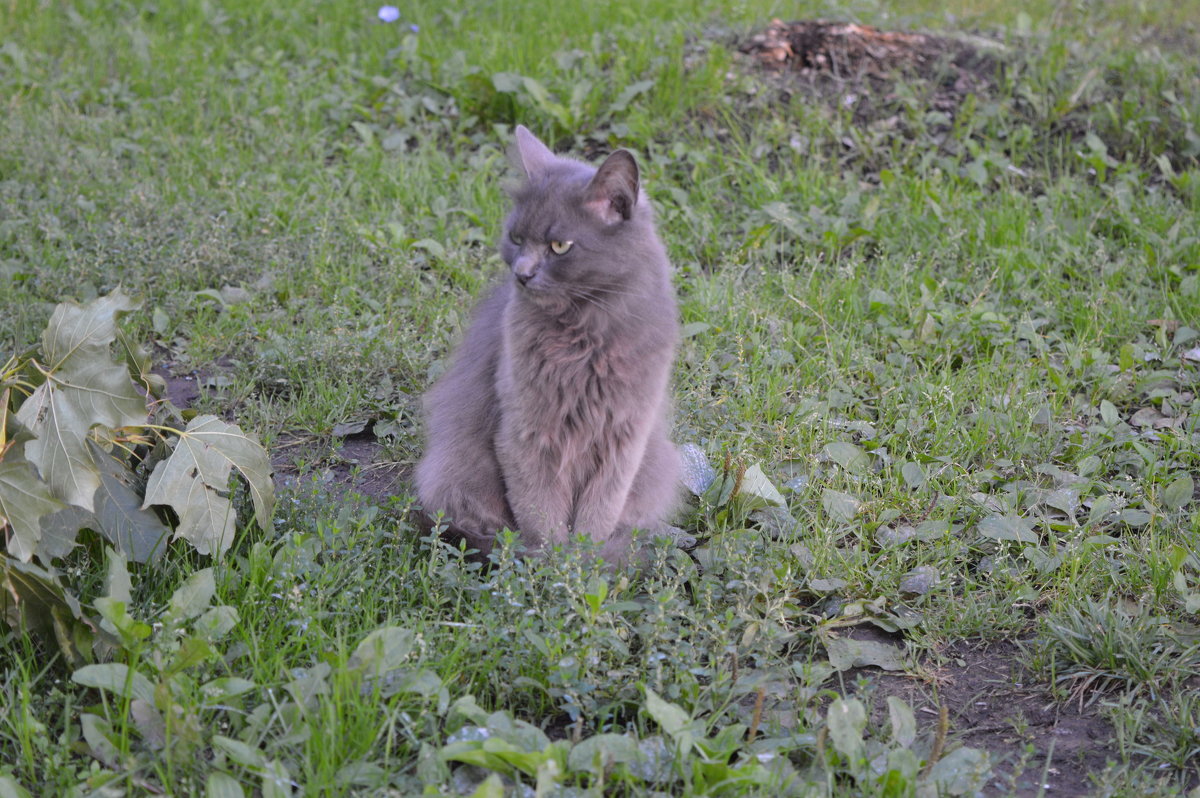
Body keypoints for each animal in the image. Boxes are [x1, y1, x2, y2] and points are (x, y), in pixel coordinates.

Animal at [415, 126, 681, 559]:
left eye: (559, 246)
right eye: (516, 238)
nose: (522, 274)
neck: (584, 334)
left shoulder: (624, 439)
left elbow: (597, 516)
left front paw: (583, 562)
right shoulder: (527, 435)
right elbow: (541, 515)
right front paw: (553, 564)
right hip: (454, 469)